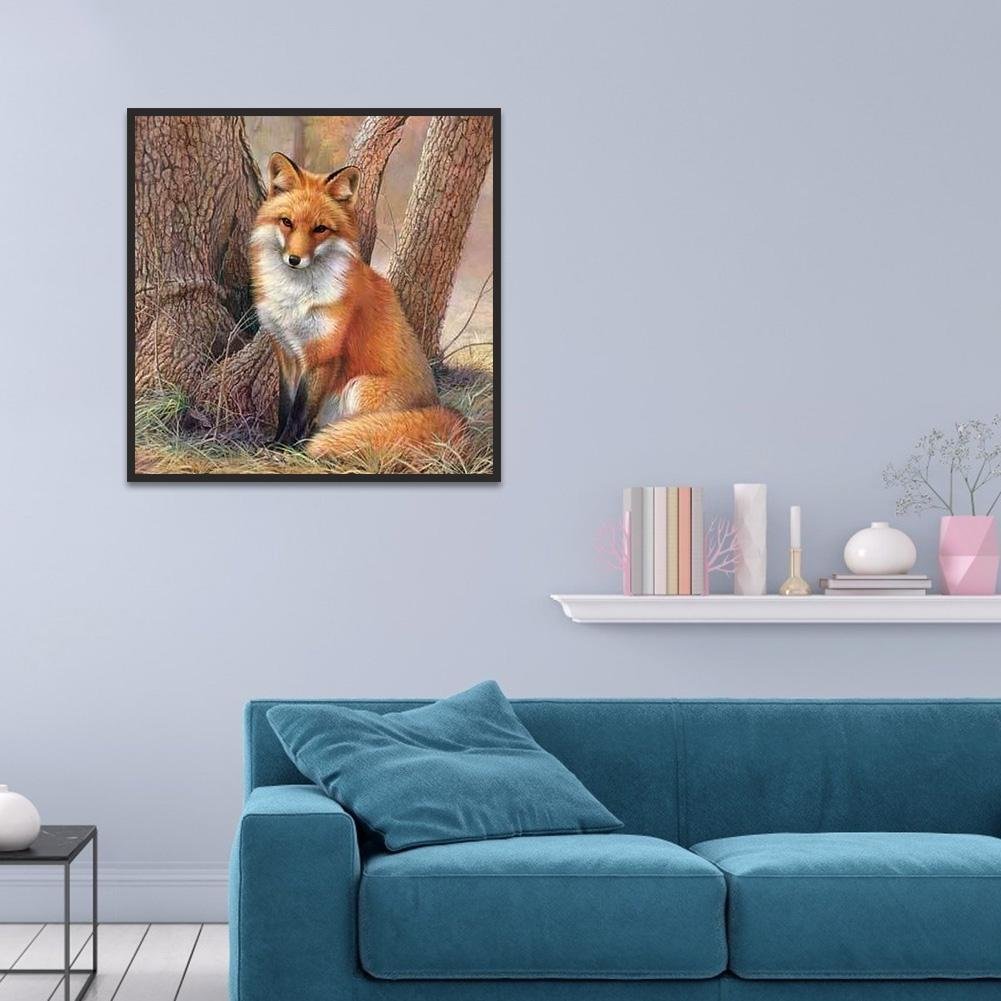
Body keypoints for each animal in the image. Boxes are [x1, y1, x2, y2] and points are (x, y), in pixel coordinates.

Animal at [249, 152, 465, 462]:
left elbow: (300, 412)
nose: (294, 259)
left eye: (320, 229)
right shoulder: (286, 352)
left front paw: (287, 448)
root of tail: (437, 406)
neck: (295, 298)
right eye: (286, 222)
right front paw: (276, 442)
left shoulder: (323, 355)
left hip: (359, 387)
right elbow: (285, 407)